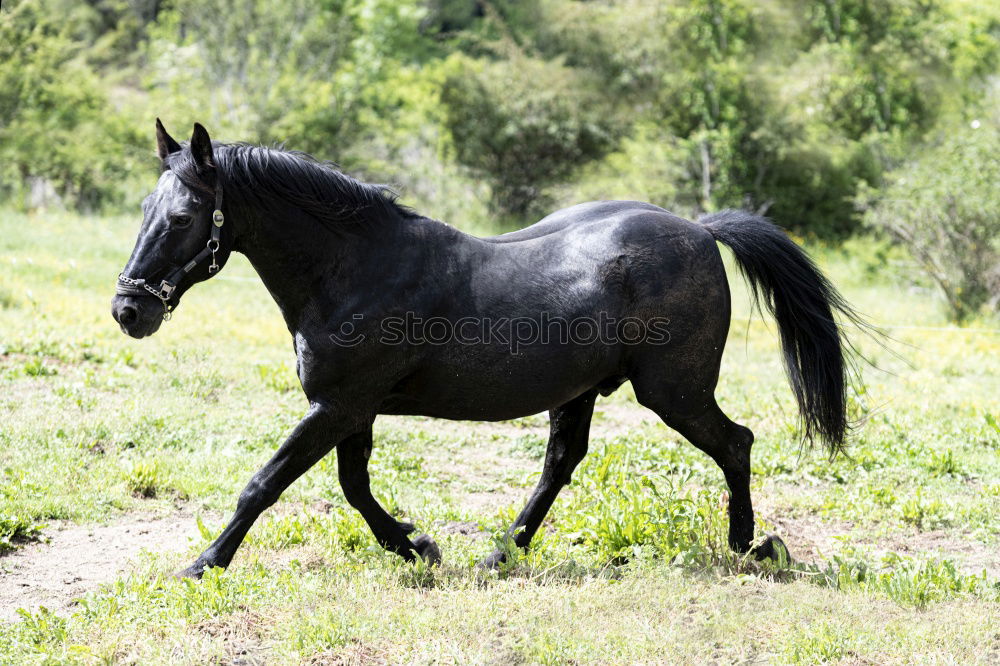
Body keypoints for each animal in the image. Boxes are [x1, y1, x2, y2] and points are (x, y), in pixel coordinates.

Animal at [109, 122, 860, 572]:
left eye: (183, 217)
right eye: (145, 211)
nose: (128, 310)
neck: (356, 268)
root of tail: (701, 231)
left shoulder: (337, 405)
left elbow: (263, 484)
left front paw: (204, 564)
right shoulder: (353, 410)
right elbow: (355, 487)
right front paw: (417, 545)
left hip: (674, 390)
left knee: (736, 442)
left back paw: (749, 546)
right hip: (581, 392)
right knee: (561, 465)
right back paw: (502, 553)